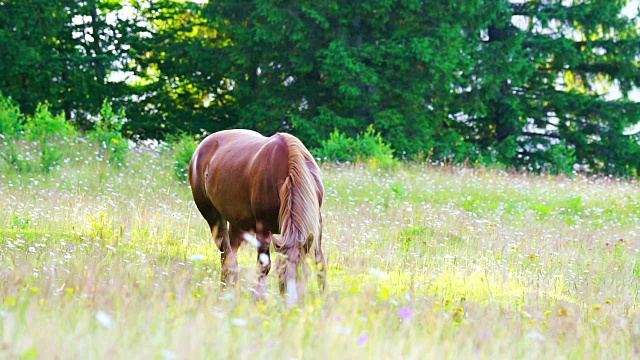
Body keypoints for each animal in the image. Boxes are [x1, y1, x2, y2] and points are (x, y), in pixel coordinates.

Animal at [188, 129, 322, 304]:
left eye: (302, 273)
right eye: (281, 274)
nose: (291, 304)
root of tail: (201, 148)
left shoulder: (317, 225)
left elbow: (320, 263)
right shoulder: (263, 228)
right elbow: (264, 266)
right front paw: (259, 300)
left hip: (237, 225)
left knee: (232, 253)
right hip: (214, 219)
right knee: (226, 256)